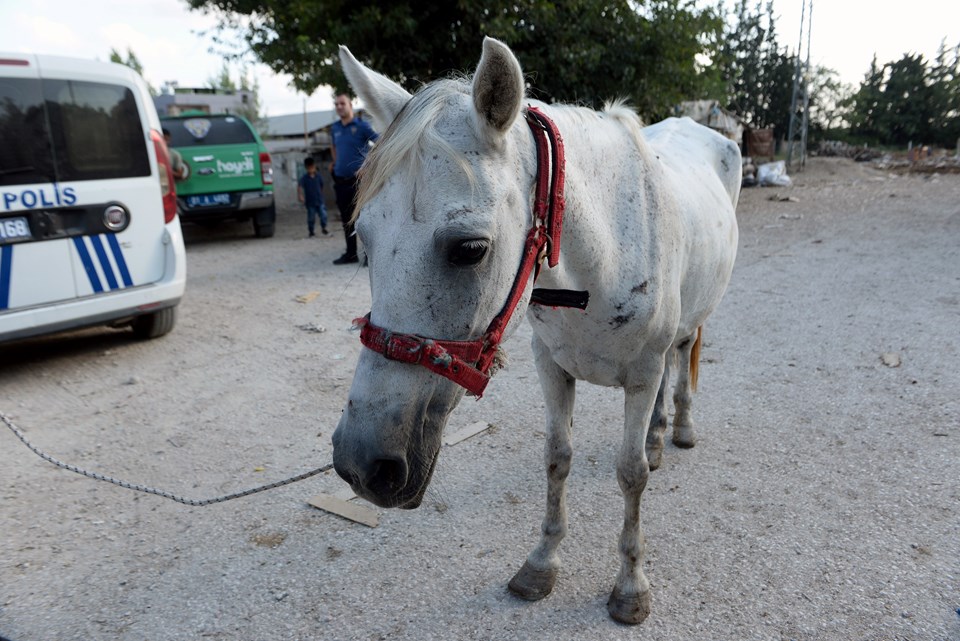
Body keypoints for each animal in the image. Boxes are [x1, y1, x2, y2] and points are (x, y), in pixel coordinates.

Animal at [332, 37, 744, 624]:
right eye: (363, 237)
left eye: (470, 248)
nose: (362, 465)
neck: (600, 261)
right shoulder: (550, 364)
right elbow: (557, 458)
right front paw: (541, 564)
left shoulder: (640, 374)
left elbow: (631, 472)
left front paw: (630, 585)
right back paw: (660, 434)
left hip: (691, 322)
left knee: (684, 352)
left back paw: (679, 428)